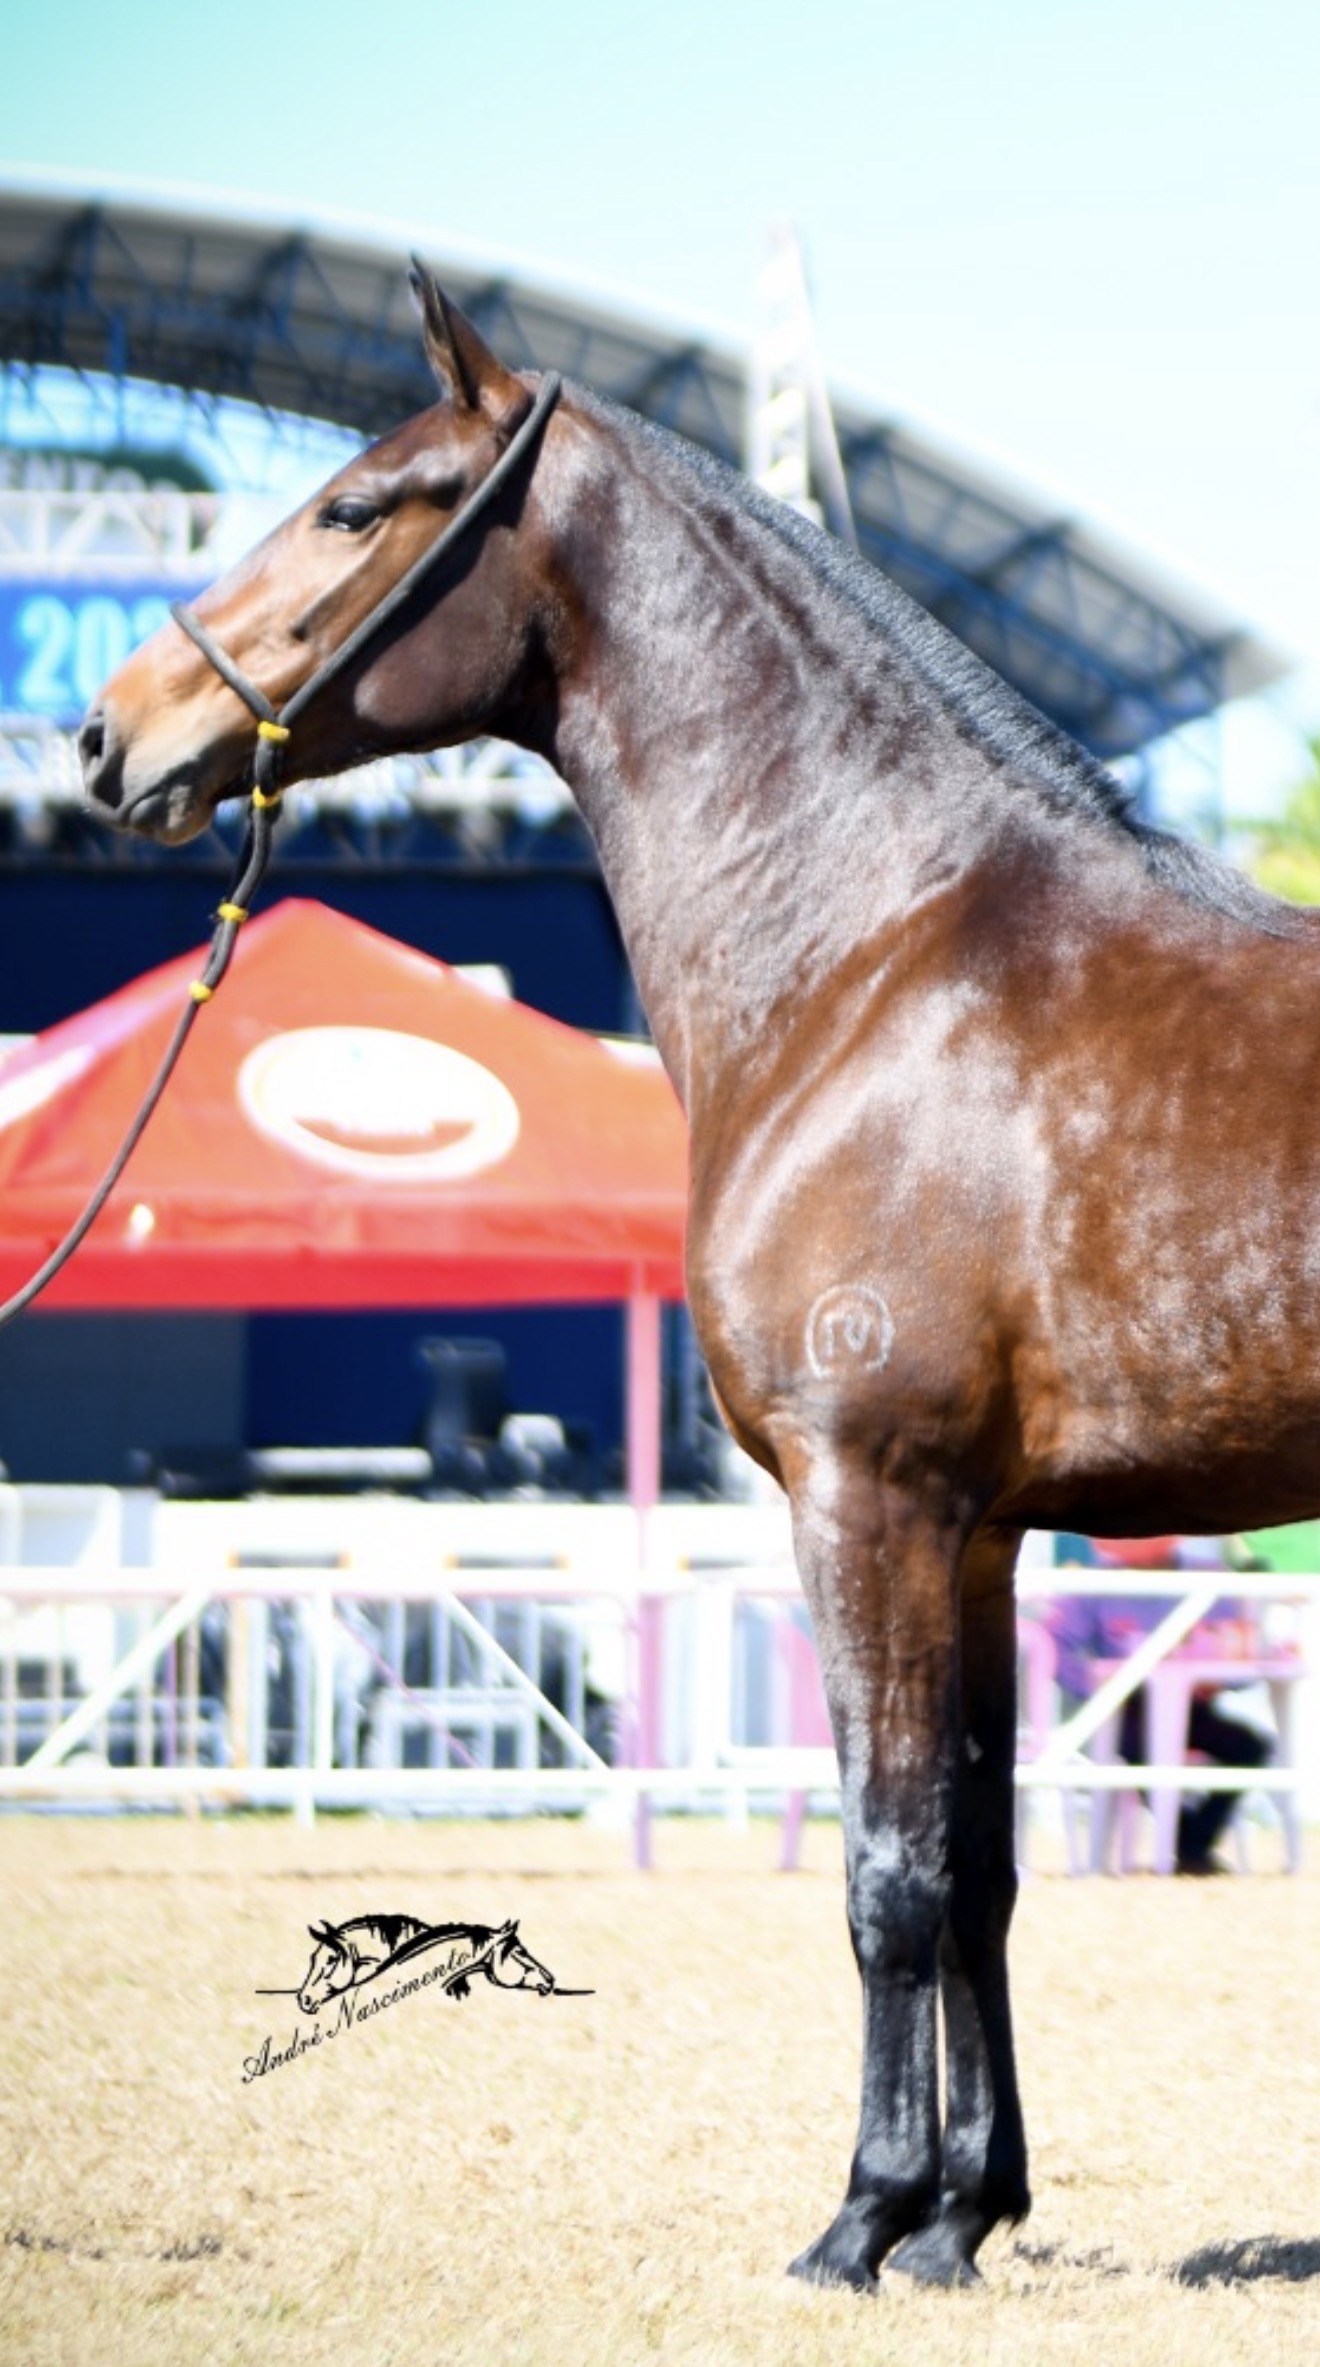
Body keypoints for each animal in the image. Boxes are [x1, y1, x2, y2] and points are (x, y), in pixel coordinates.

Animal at [79, 264, 1320, 2291]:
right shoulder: (979, 1531)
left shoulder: (867, 1499)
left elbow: (891, 1871)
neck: (875, 957)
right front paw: (966, 2211)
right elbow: (981, 1863)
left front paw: (865, 2217)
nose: (108, 733)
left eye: (356, 505)